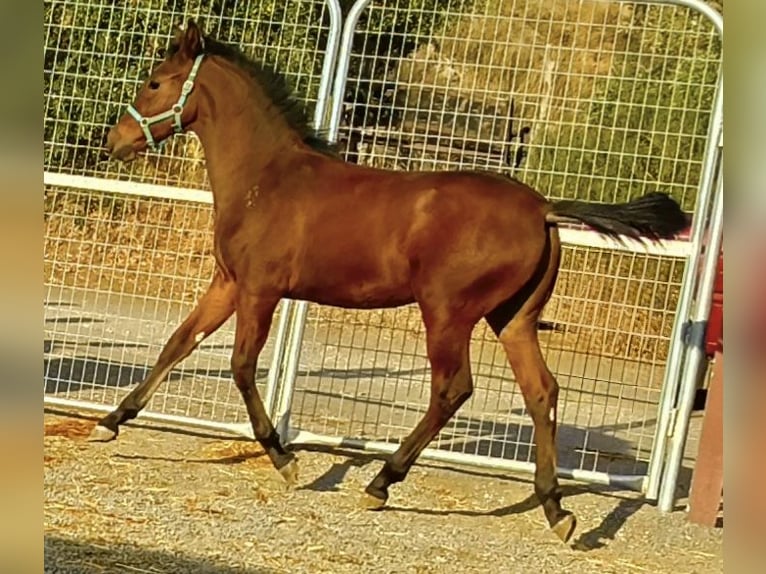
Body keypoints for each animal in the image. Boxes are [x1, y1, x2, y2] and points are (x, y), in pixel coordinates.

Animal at [98, 20, 688, 543]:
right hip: (514, 318)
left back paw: (382, 482)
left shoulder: (260, 291)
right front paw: (111, 421)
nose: (115, 140)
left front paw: (285, 459)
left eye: (156, 82)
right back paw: (556, 510)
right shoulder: (227, 283)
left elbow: (242, 367)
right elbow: (178, 343)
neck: (267, 180)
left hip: (447, 313)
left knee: (453, 388)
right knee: (541, 391)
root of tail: (543, 209)